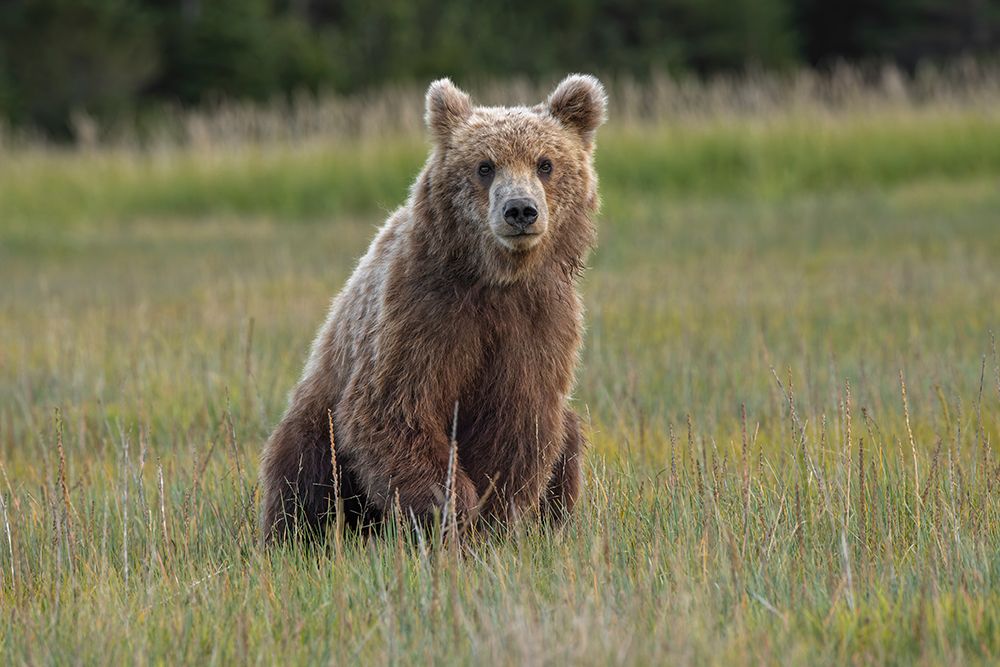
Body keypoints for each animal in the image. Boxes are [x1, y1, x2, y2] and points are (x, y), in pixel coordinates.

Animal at [259, 74, 607, 543]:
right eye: (485, 166)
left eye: (545, 163)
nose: (520, 209)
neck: (494, 280)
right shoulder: (425, 314)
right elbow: (398, 409)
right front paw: (452, 509)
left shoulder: (538, 324)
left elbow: (517, 423)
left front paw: (493, 522)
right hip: (317, 414)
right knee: (304, 470)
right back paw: (300, 536)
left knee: (567, 438)